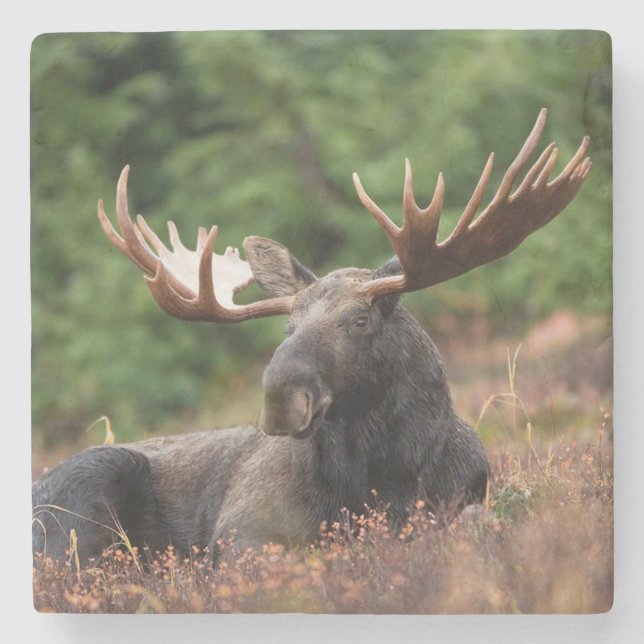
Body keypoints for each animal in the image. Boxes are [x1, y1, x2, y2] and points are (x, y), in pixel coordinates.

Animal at [32, 109, 591, 564]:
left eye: (361, 320)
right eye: (289, 326)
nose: (280, 400)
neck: (383, 479)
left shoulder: (465, 498)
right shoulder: (241, 530)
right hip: (87, 491)